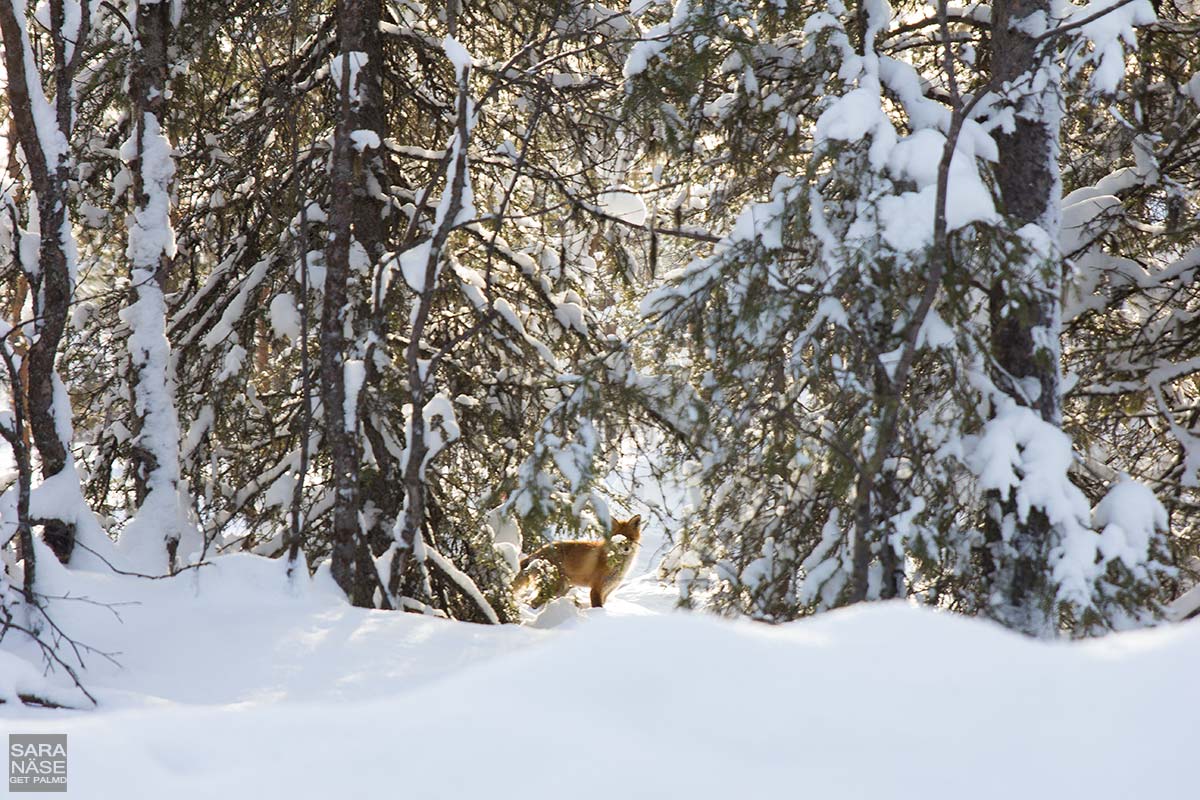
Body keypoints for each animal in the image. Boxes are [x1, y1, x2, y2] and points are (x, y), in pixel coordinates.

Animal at [513, 515, 643, 609]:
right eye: (618, 538)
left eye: (631, 538)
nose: (626, 549)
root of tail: (536, 553)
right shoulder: (596, 589)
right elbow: (597, 606)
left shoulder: (607, 591)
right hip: (556, 587)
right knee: (532, 603)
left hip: (561, 589)